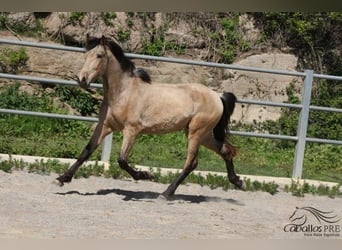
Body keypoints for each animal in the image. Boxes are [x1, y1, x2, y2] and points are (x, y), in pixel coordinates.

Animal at [54, 34, 244, 199]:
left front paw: (145, 175)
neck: (123, 93)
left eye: (99, 55)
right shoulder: (106, 126)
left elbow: (122, 160)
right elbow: (86, 151)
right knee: (225, 151)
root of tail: (217, 96)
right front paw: (62, 179)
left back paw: (166, 193)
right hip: (201, 134)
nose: (82, 80)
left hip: (196, 133)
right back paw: (238, 182)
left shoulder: (132, 130)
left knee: (191, 163)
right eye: (85, 54)